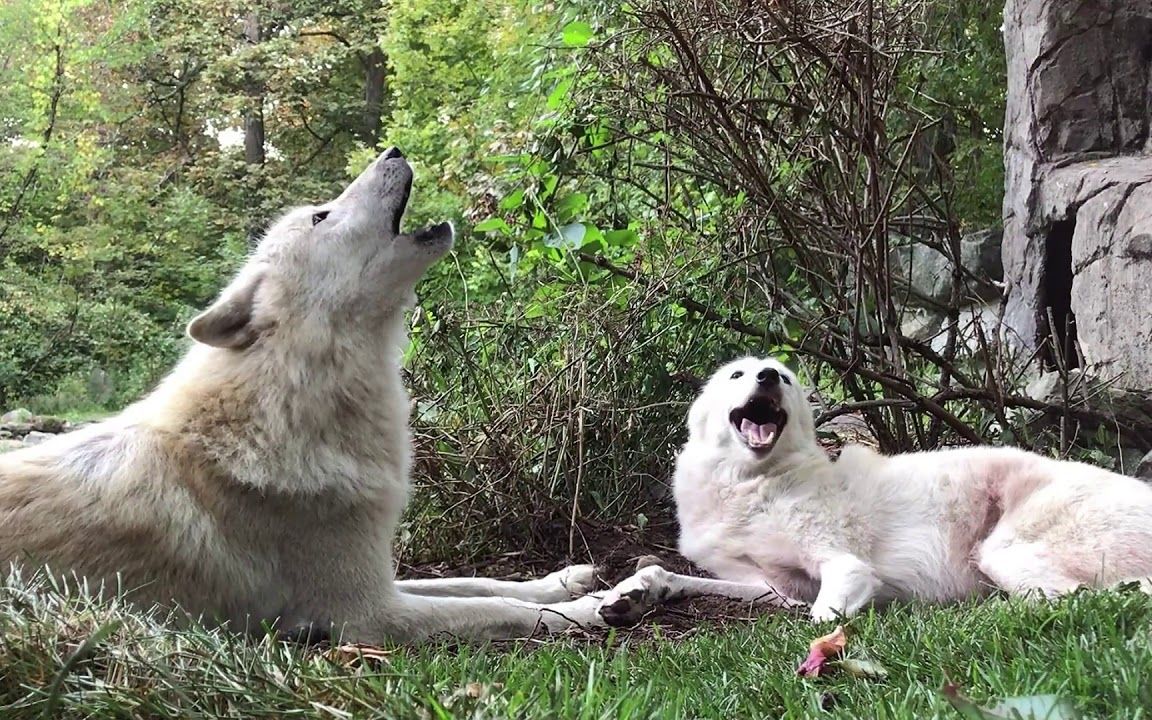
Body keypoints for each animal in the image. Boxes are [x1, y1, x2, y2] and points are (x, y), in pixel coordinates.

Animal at [2, 148, 603, 645]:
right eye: (321, 216)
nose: (392, 149)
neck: (290, 404)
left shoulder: (381, 577)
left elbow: (479, 582)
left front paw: (566, 580)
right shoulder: (368, 615)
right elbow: (502, 608)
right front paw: (599, 606)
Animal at [599, 354, 1152, 622]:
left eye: (785, 378)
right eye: (738, 374)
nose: (767, 376)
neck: (753, 485)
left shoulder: (842, 566)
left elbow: (821, 615)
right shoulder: (773, 587)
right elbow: (685, 578)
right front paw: (638, 591)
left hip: (1004, 553)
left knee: (1089, 599)